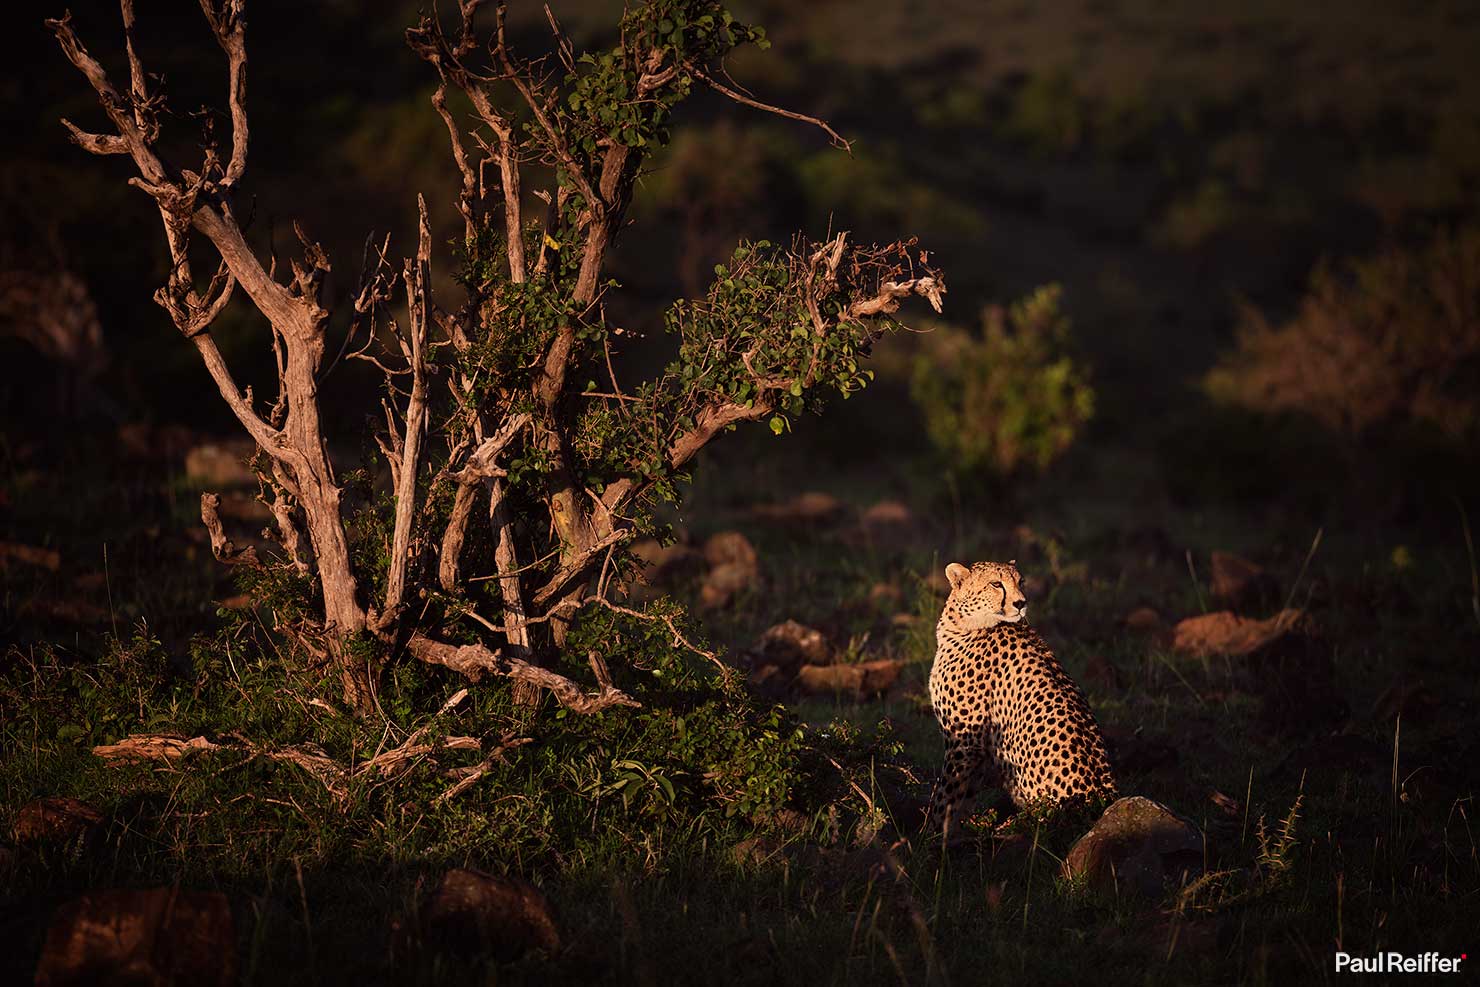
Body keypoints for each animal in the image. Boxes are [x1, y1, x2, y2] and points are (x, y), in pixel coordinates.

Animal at [925, 559, 1117, 834]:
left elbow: (945, 797)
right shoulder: (976, 748)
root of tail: (1102, 800)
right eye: (996, 583)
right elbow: (963, 797)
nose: (1021, 603)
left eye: (1021, 581)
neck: (967, 623)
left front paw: (928, 835)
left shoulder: (964, 742)